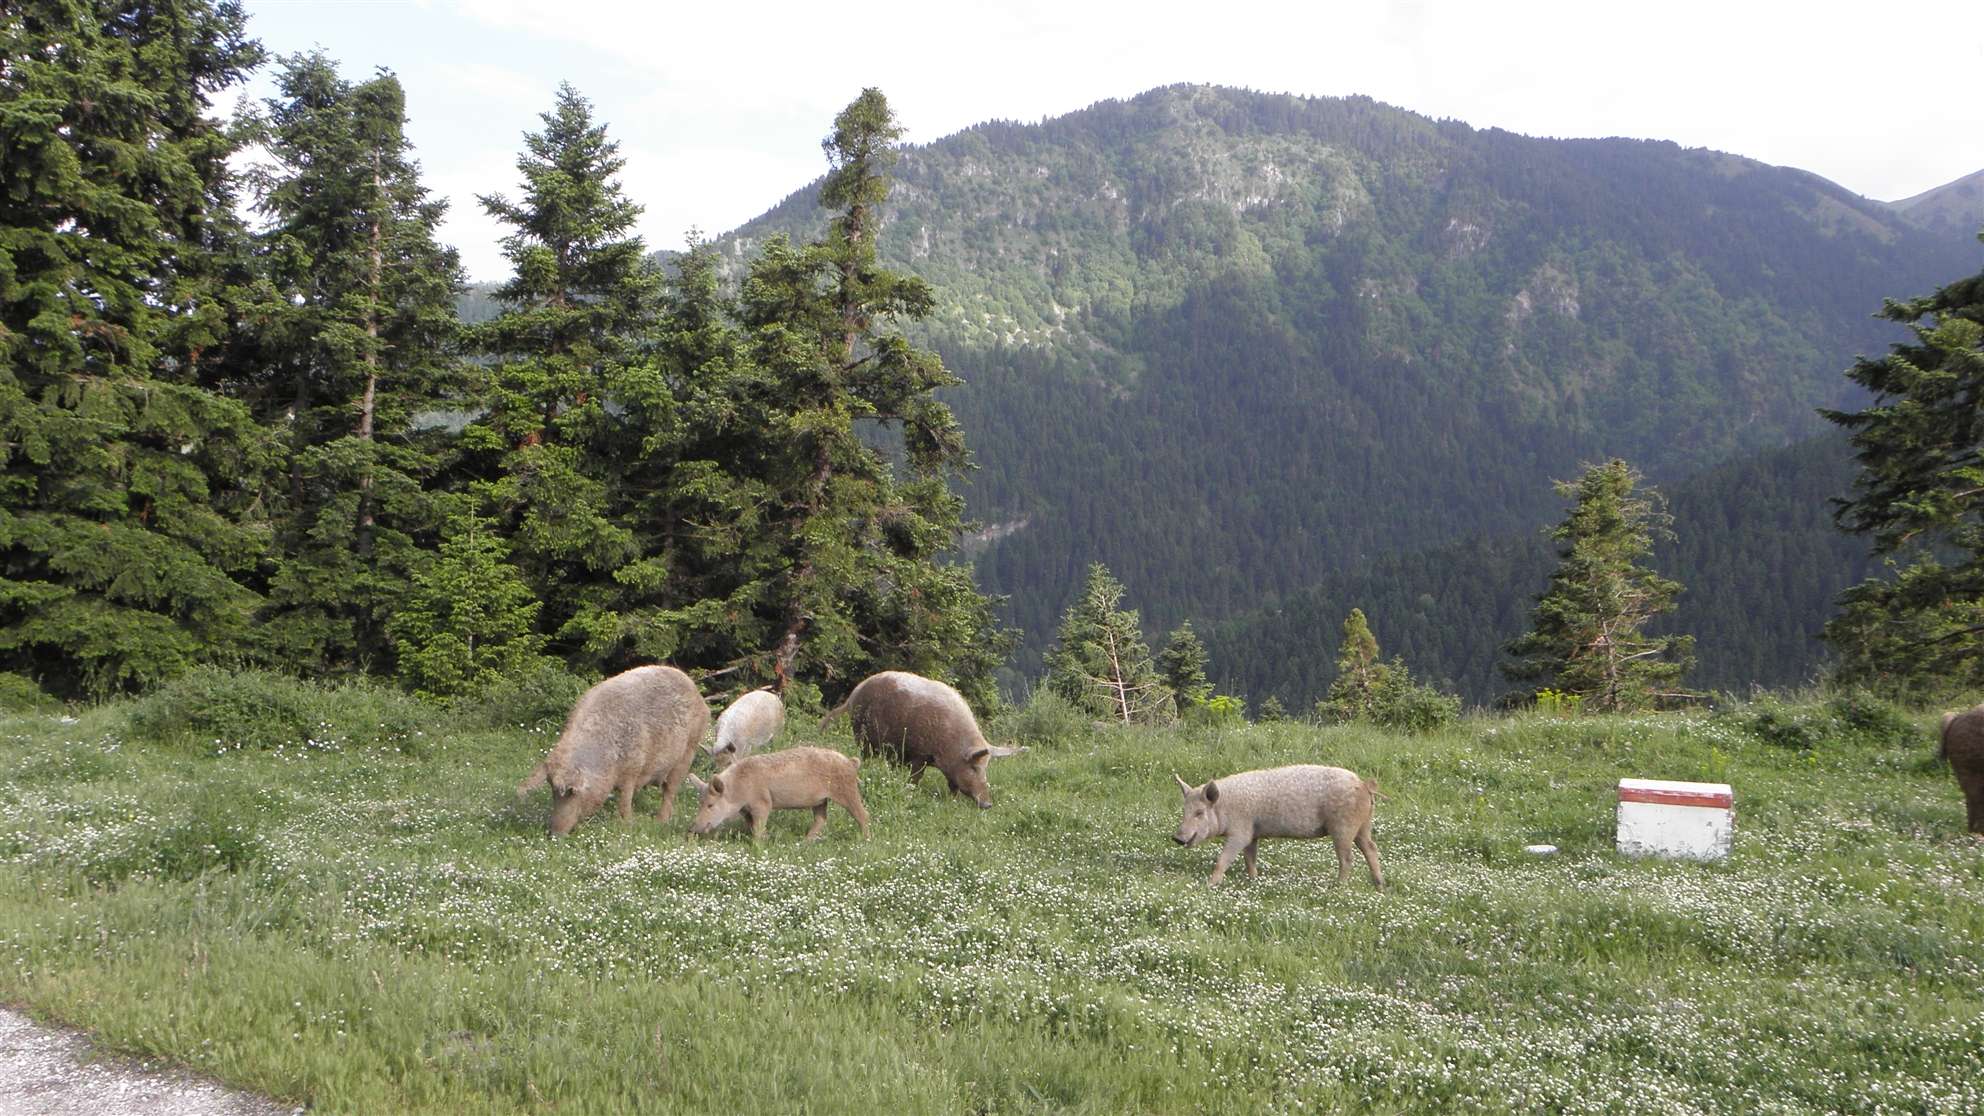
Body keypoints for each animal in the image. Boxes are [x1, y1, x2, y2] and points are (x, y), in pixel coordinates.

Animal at [515, 659, 710, 834]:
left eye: (572, 792)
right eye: (553, 790)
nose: (554, 834)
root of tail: (694, 688)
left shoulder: (633, 767)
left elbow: (625, 799)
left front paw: (628, 825)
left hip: (689, 749)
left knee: (670, 789)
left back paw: (660, 821)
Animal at [682, 742, 868, 837]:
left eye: (710, 805)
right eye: (699, 803)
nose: (692, 829)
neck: (738, 789)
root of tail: (851, 762)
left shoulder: (762, 802)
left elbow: (758, 826)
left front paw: (759, 844)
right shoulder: (746, 810)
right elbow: (751, 826)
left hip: (847, 790)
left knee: (863, 814)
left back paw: (865, 840)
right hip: (821, 801)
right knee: (821, 818)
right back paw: (805, 842)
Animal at [817, 663, 1023, 802]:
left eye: (986, 767)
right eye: (974, 767)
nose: (987, 804)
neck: (952, 744)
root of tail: (854, 694)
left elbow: (953, 784)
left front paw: (953, 800)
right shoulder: (919, 754)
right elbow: (916, 776)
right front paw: (912, 792)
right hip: (861, 734)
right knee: (865, 755)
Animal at [1166, 758, 1388, 881]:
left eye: (1199, 812)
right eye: (1185, 810)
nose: (1177, 838)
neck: (1225, 807)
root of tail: (1364, 784)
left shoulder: (1241, 831)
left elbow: (1224, 859)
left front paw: (1210, 885)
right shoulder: (1253, 834)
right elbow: (1250, 858)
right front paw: (1253, 880)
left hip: (1343, 826)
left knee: (1347, 857)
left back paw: (1338, 887)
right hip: (1364, 825)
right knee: (1371, 847)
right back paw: (1380, 886)